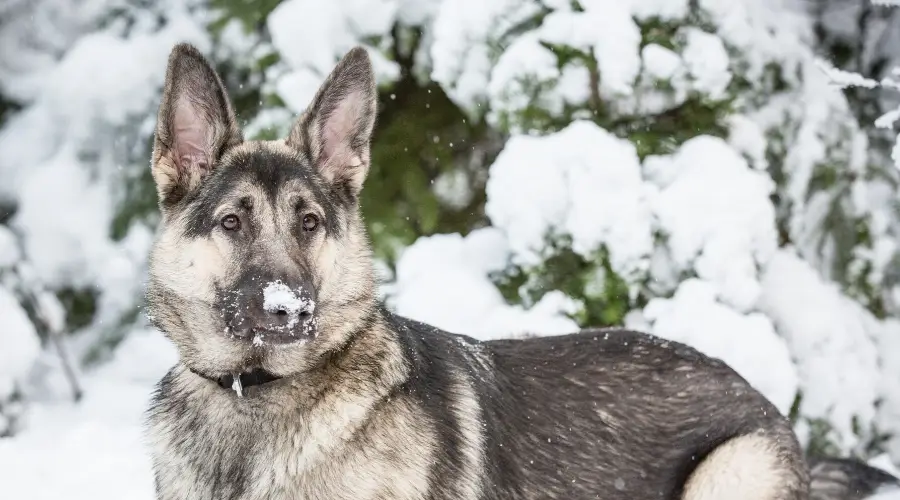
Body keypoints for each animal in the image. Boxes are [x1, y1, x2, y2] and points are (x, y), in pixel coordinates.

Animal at [144, 44, 896, 500]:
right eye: (232, 223)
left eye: (308, 223)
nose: (288, 311)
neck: (254, 396)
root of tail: (766, 403)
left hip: (725, 474)